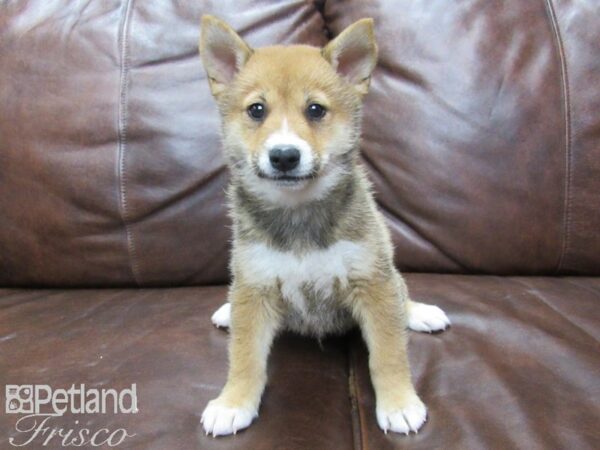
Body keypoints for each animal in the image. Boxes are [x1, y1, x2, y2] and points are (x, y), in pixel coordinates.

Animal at [199, 15, 448, 438]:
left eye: (315, 110)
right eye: (256, 110)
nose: (284, 155)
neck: (299, 213)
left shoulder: (372, 282)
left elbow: (388, 352)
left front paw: (399, 403)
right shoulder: (255, 284)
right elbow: (245, 356)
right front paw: (233, 403)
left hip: (387, 272)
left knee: (402, 294)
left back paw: (420, 313)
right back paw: (227, 312)